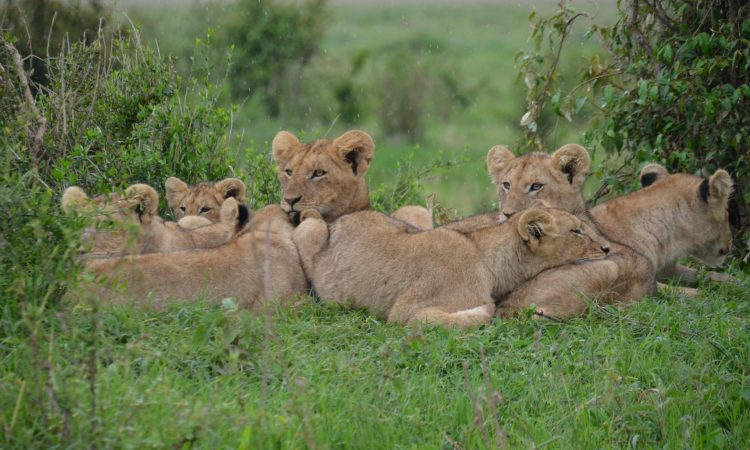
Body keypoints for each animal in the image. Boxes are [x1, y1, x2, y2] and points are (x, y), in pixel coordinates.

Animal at [292, 207, 610, 328]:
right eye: (577, 231)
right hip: (309, 229)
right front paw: (484, 309)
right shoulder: (403, 312)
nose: (608, 248)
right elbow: (478, 314)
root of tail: (338, 220)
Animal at [495, 166, 734, 319]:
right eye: (727, 213)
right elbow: (688, 290)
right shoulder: (644, 272)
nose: (729, 247)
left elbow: (707, 275)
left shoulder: (668, 268)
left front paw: (732, 282)